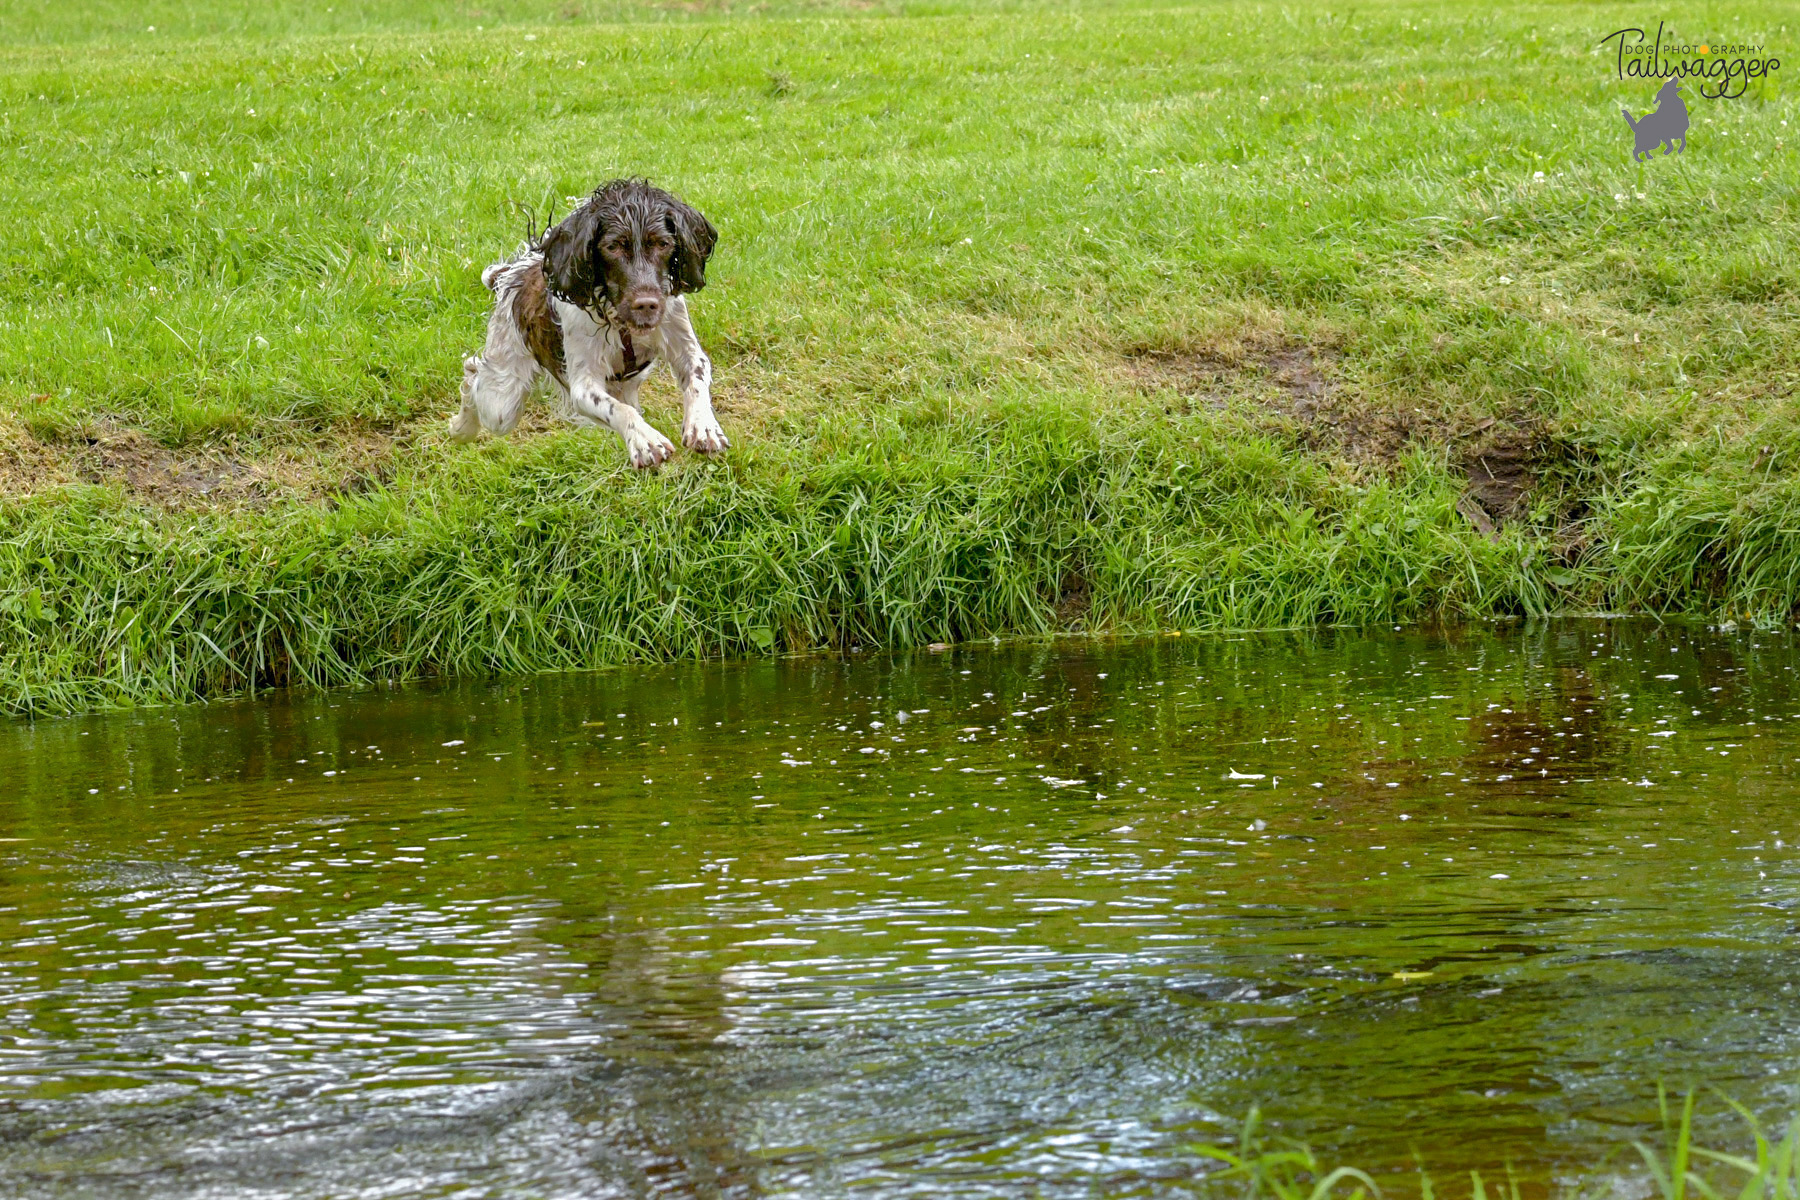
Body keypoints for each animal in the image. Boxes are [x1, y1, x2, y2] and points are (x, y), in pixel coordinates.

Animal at [450, 178, 723, 467]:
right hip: (502, 400)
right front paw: (645, 440)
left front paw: (704, 426)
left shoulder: (681, 336)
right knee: (473, 373)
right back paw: (460, 428)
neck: (620, 320)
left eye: (663, 243)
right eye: (612, 247)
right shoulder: (583, 385)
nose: (646, 304)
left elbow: (697, 377)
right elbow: (620, 410)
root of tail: (512, 273)